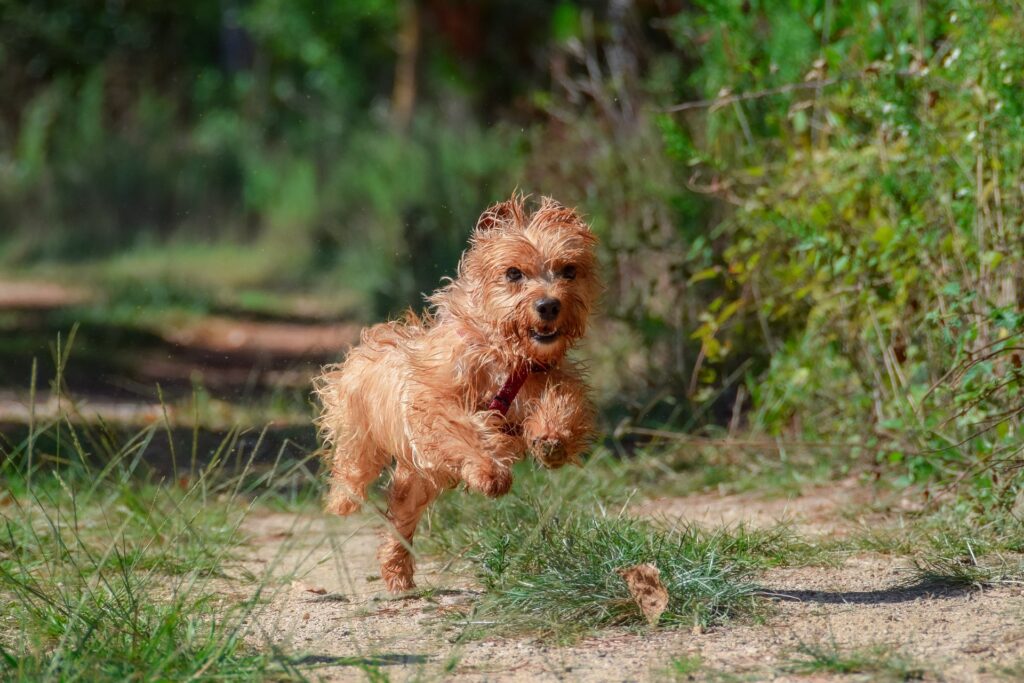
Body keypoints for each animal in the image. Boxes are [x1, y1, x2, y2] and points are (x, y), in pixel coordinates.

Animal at [315, 193, 598, 593]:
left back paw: (396, 569)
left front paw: (552, 439)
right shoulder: (436, 403)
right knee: (352, 466)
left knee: (400, 518)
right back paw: (342, 501)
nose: (548, 305)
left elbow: (564, 400)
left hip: (417, 480)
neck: (504, 355)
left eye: (568, 270)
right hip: (361, 436)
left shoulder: (546, 378)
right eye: (513, 273)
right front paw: (490, 474)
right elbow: (464, 431)